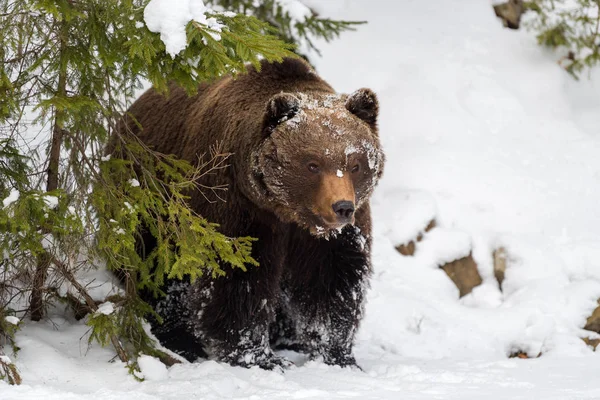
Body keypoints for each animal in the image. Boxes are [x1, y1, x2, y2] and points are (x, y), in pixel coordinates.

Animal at [117, 57, 384, 370]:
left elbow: (331, 280)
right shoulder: (236, 206)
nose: (341, 207)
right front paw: (258, 357)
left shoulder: (329, 234)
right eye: (312, 164)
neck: (286, 211)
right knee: (159, 276)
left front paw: (338, 354)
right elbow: (238, 278)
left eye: (355, 164)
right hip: (151, 206)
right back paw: (179, 340)